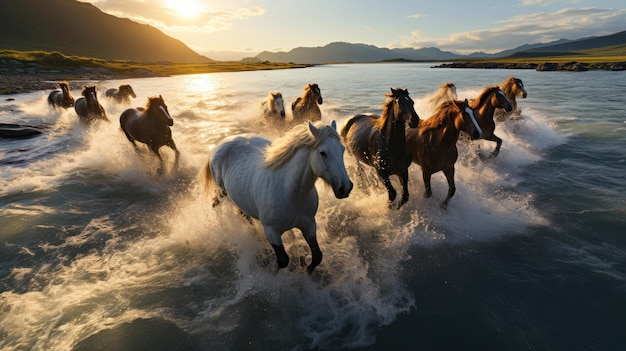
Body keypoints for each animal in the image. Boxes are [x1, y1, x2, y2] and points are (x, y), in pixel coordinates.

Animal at [202, 121, 354, 272]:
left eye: (342, 149)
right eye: (323, 153)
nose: (345, 187)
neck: (291, 193)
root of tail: (220, 145)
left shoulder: (309, 224)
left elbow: (317, 256)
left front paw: (307, 271)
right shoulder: (272, 232)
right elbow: (283, 260)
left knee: (244, 214)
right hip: (222, 191)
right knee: (216, 205)